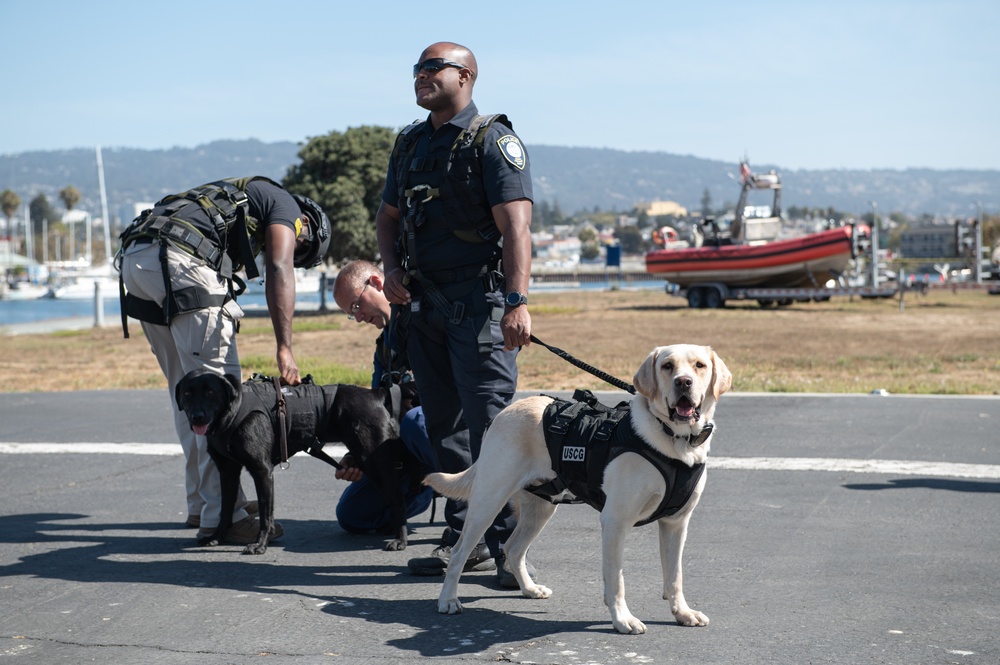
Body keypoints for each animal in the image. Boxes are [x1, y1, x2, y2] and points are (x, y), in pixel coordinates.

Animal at [175, 368, 422, 556]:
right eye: (187, 393)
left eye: (210, 392)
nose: (197, 416)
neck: (232, 411)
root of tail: (377, 394)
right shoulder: (227, 472)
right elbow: (225, 509)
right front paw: (216, 536)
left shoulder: (262, 470)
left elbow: (266, 514)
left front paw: (260, 545)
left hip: (375, 462)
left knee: (398, 498)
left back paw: (400, 539)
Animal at [424, 344, 736, 636]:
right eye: (667, 366)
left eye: (699, 365)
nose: (683, 382)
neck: (675, 440)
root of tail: (502, 414)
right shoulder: (615, 521)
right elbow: (616, 579)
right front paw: (623, 619)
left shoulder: (676, 523)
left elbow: (675, 576)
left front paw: (682, 613)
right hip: (488, 501)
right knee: (459, 552)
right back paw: (448, 600)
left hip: (541, 508)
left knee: (513, 548)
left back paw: (529, 589)